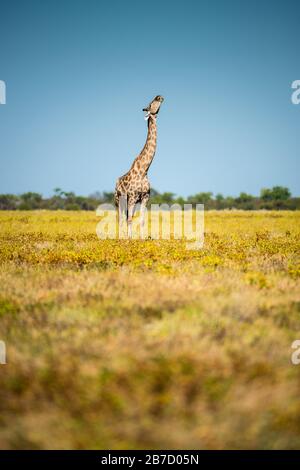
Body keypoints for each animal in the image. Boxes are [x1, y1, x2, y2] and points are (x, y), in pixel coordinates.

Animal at [114, 94, 164, 239]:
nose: (159, 96)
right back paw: (120, 238)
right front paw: (129, 239)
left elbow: (141, 220)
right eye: (150, 104)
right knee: (120, 218)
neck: (144, 170)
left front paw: (141, 239)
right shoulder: (132, 197)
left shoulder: (144, 198)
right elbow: (130, 219)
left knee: (125, 217)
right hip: (119, 199)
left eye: (155, 101)